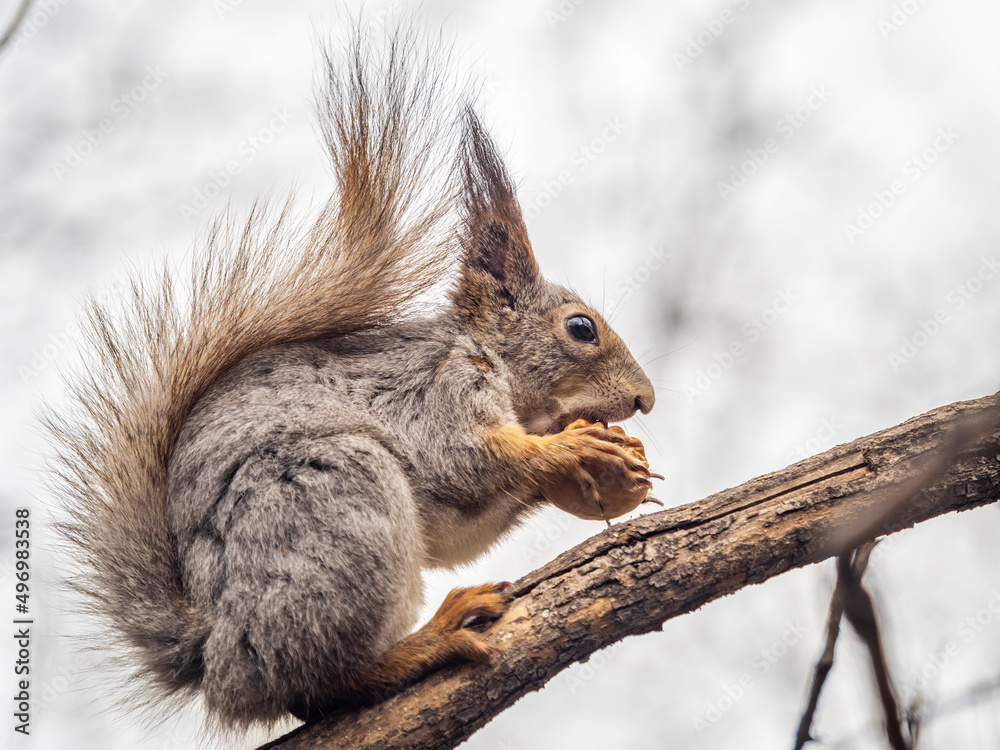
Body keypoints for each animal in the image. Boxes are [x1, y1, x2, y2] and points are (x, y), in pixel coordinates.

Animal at [48, 29, 656, 730]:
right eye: (581, 328)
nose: (645, 399)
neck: (489, 358)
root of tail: (216, 657)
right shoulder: (438, 389)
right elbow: (462, 458)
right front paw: (574, 447)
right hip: (337, 505)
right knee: (323, 682)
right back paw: (430, 639)